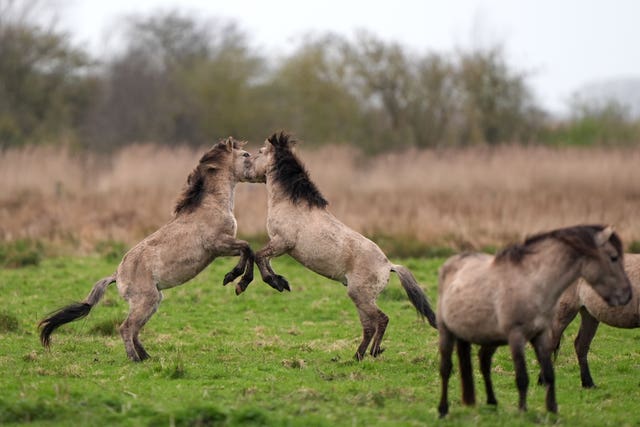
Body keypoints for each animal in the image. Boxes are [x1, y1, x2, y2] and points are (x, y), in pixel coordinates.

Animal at [39, 138, 261, 362]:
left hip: (153, 301)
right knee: (126, 328)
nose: (259, 173)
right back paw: (135, 359)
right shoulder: (218, 245)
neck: (211, 205)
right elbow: (248, 248)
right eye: (245, 155)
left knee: (135, 331)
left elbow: (248, 250)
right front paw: (236, 279)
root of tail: (116, 275)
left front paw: (235, 279)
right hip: (146, 301)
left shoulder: (221, 249)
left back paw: (147, 357)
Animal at [244, 131, 437, 361]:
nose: (245, 166)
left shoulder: (282, 243)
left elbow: (258, 256)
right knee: (369, 326)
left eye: (259, 152)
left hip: (360, 296)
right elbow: (264, 259)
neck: (291, 204)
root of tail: (389, 265)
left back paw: (371, 353)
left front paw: (272, 283)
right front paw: (280, 281)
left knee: (381, 319)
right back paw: (358, 356)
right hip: (361, 298)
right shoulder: (279, 245)